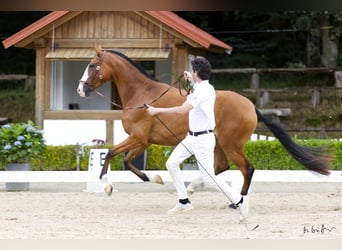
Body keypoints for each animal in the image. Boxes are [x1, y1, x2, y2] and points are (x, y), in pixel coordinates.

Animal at [77, 44, 332, 197]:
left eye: (92, 65)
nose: (81, 89)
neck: (143, 96)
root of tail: (251, 106)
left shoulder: (138, 138)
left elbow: (111, 154)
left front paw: (107, 185)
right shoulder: (144, 141)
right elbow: (127, 161)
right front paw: (154, 178)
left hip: (231, 144)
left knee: (246, 169)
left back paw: (237, 199)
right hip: (219, 144)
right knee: (220, 167)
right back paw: (192, 187)